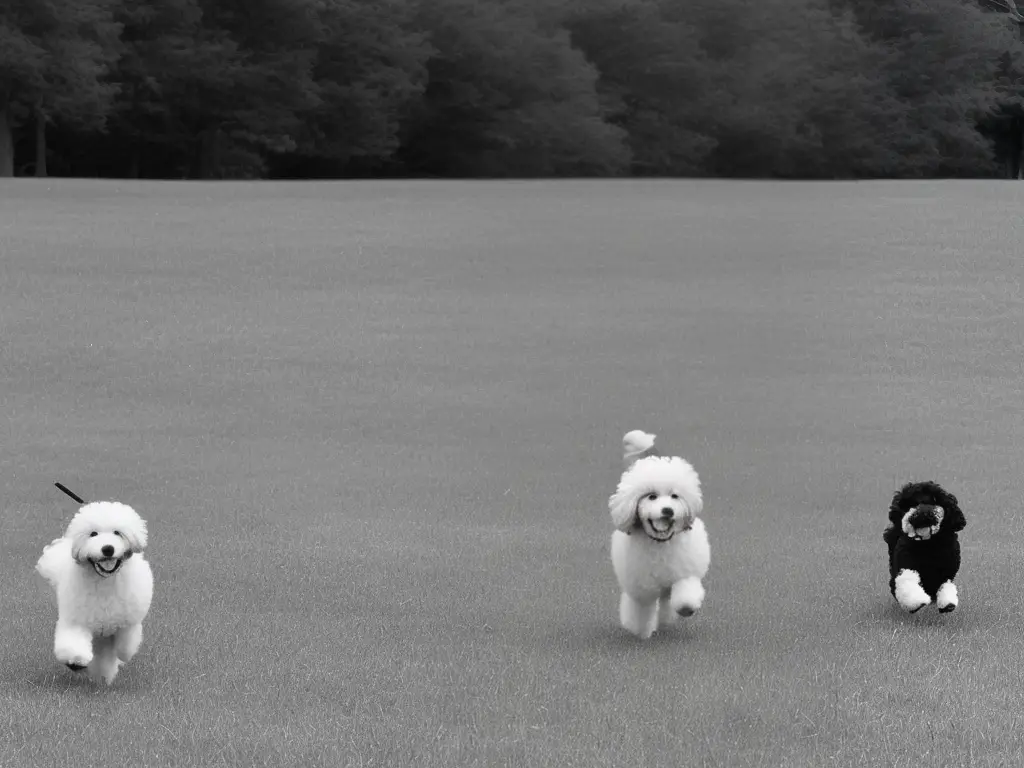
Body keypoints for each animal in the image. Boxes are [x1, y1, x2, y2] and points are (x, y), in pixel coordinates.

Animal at [35, 501, 151, 688]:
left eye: (117, 532)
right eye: (93, 534)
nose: (108, 549)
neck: (104, 581)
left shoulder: (128, 620)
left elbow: (126, 643)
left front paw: (123, 653)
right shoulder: (77, 620)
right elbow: (73, 644)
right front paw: (76, 659)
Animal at [606, 430, 712, 638]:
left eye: (675, 496)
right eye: (651, 496)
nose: (668, 511)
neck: (660, 543)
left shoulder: (683, 573)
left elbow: (684, 591)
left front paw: (686, 607)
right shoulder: (642, 589)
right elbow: (642, 609)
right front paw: (640, 630)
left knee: (666, 601)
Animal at [884, 481, 962, 614]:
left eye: (921, 502)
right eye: (904, 509)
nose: (913, 517)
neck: (928, 544)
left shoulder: (947, 571)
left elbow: (945, 586)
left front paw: (947, 603)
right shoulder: (905, 565)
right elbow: (907, 581)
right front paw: (915, 602)